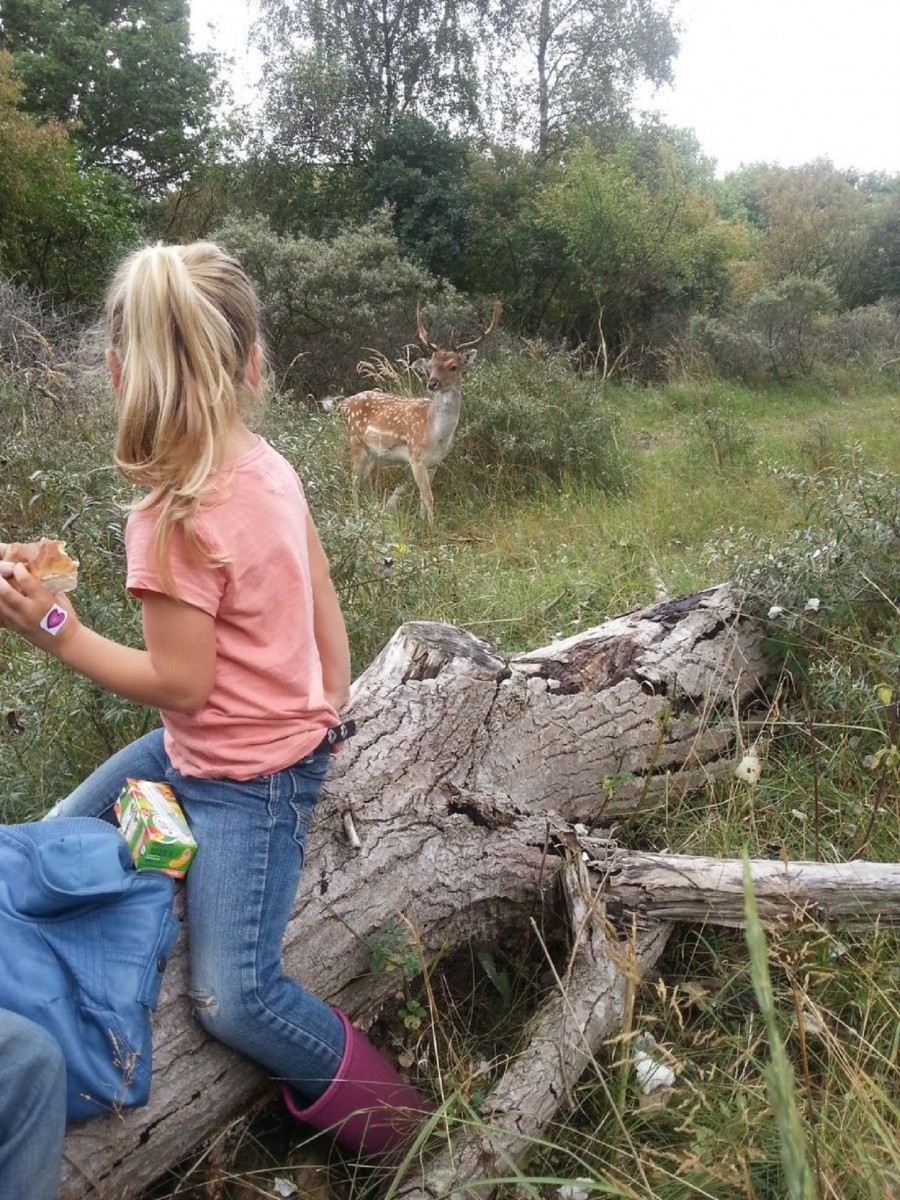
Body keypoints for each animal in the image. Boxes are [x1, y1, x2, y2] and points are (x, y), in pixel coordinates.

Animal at [336, 297, 504, 518]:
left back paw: (374, 510)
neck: (436, 435)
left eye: (453, 366)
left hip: (375, 453)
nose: (432, 383)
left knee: (365, 479)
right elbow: (429, 498)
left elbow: (424, 499)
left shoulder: (434, 463)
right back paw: (357, 515)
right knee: (354, 480)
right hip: (356, 442)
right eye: (430, 366)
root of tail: (344, 403)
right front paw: (433, 525)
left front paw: (423, 521)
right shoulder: (415, 458)